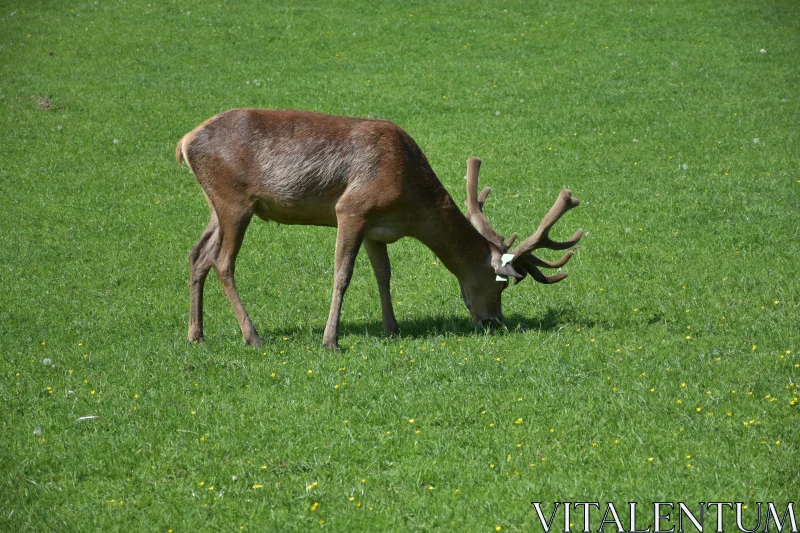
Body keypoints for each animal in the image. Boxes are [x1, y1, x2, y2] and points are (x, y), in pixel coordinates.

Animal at [178, 108, 584, 350]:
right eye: (501, 284)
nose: (494, 323)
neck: (411, 202)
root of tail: (184, 141)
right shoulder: (351, 208)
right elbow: (342, 274)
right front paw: (330, 340)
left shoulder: (377, 229)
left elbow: (384, 276)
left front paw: (392, 328)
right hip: (234, 202)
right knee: (222, 261)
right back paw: (253, 336)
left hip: (218, 205)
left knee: (198, 253)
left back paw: (196, 334)